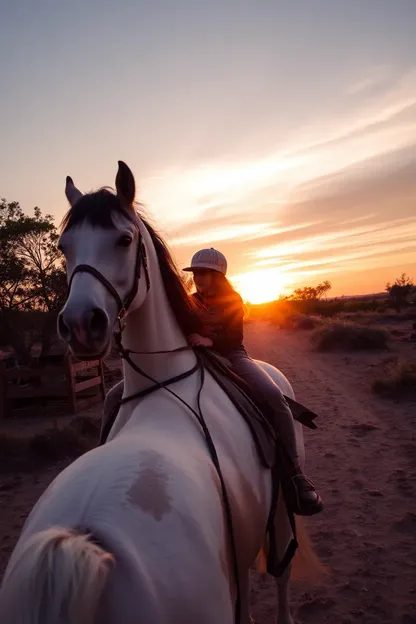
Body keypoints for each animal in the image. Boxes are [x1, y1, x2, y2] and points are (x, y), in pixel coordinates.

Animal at [0, 162, 324, 624]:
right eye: (64, 247)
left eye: (123, 239)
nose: (80, 324)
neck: (162, 384)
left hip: (281, 511)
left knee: (282, 574)